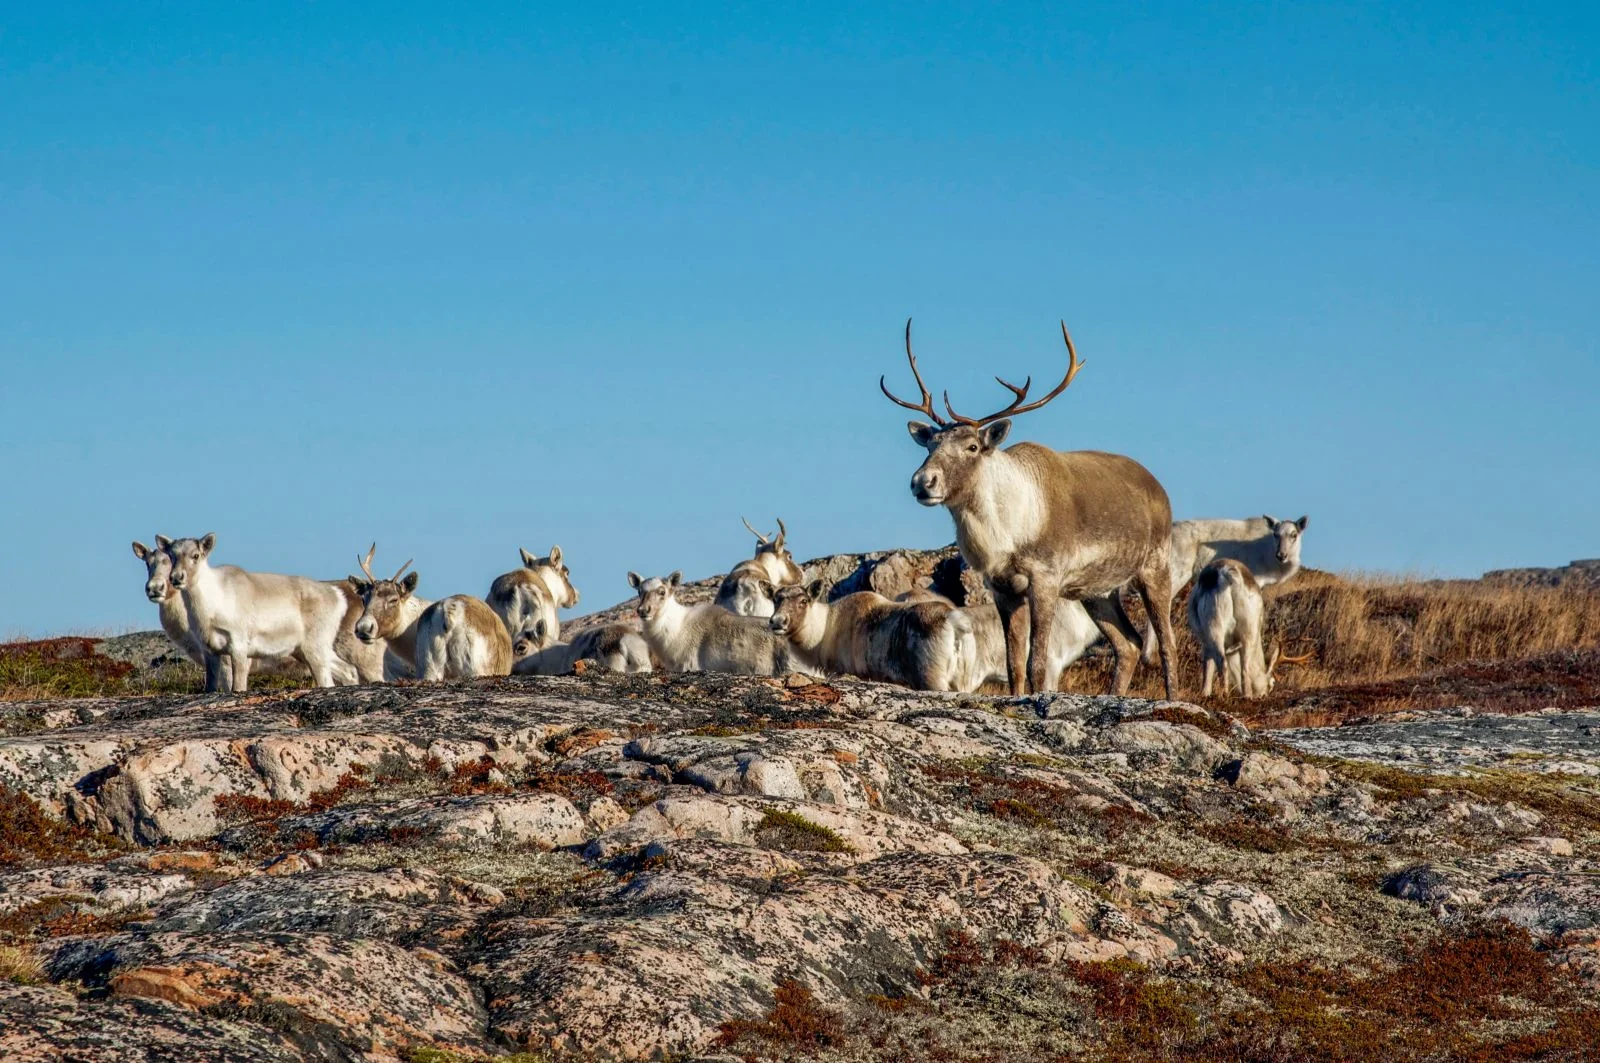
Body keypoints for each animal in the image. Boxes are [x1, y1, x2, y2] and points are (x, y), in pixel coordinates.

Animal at [164, 534, 378, 691]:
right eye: (171, 556)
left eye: (196, 555)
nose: (176, 578)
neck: (210, 607)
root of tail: (337, 597)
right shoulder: (210, 651)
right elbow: (210, 688)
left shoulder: (239, 647)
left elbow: (238, 687)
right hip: (306, 649)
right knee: (347, 670)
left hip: (314, 649)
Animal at [768, 580, 975, 691]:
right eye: (776, 600)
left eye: (803, 601)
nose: (777, 621)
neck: (825, 629)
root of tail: (953, 620)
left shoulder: (843, 670)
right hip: (961, 681)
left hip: (933, 677)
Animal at [882, 318, 1177, 696]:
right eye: (931, 443)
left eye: (973, 446)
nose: (923, 481)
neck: (1007, 535)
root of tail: (1158, 486)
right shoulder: (1003, 588)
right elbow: (1014, 665)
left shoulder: (1045, 579)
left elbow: (1037, 662)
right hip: (1097, 590)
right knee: (1128, 644)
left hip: (1155, 565)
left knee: (1166, 643)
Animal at [1142, 514, 1310, 664]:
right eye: (1276, 534)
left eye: (1294, 535)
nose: (1281, 555)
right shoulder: (1254, 580)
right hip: (1176, 571)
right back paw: (1150, 656)